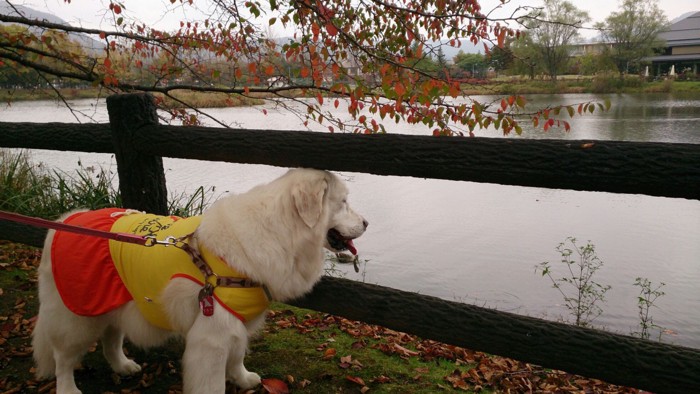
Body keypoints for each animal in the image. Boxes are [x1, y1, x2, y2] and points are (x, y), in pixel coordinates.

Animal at [32, 169, 370, 394]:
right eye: (343, 202)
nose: (367, 222)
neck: (278, 232)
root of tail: (67, 220)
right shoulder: (211, 336)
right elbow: (212, 382)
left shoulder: (236, 322)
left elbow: (237, 355)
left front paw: (243, 379)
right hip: (76, 317)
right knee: (63, 357)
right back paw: (68, 388)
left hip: (112, 301)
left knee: (111, 338)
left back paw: (123, 365)